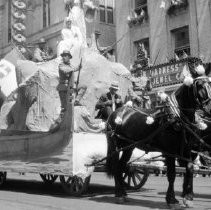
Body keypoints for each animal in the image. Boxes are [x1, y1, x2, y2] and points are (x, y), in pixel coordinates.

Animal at [105, 75, 211, 207]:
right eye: (200, 85)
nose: (210, 108)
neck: (177, 117)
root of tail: (116, 113)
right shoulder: (170, 152)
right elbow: (171, 174)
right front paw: (171, 200)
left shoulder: (187, 150)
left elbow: (190, 169)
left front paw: (188, 198)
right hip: (116, 145)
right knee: (116, 166)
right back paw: (119, 194)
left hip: (128, 147)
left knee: (121, 166)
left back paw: (122, 193)